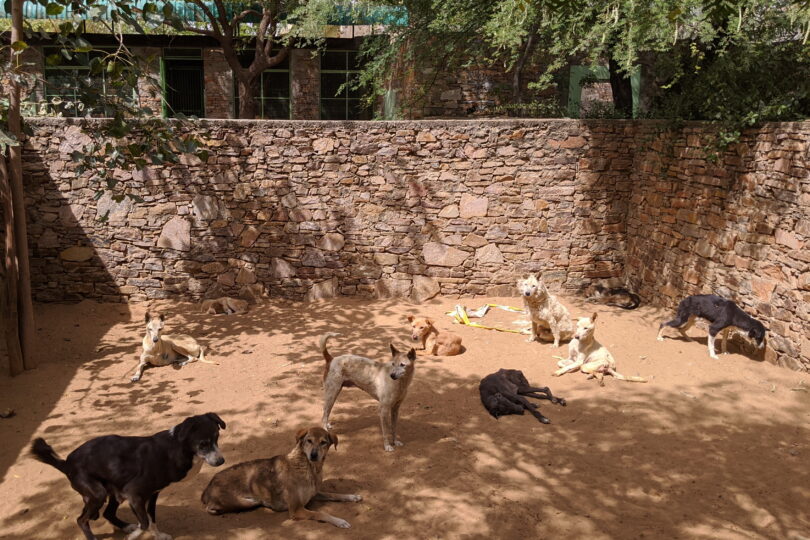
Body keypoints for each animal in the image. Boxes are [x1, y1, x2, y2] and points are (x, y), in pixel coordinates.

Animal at [30, 414, 226, 540]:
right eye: (203, 444)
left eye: (217, 438)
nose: (221, 461)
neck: (176, 448)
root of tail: (67, 464)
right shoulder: (134, 494)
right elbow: (145, 523)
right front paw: (133, 536)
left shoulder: (152, 495)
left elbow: (152, 520)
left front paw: (158, 535)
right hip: (98, 494)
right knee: (81, 520)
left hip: (114, 493)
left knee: (107, 513)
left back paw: (125, 526)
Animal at [200, 426, 360, 528]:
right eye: (309, 440)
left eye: (323, 442)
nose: (314, 455)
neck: (309, 468)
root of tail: (207, 487)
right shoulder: (296, 510)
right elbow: (321, 513)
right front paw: (339, 521)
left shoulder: (314, 494)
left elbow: (333, 494)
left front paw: (352, 496)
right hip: (247, 502)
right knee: (210, 508)